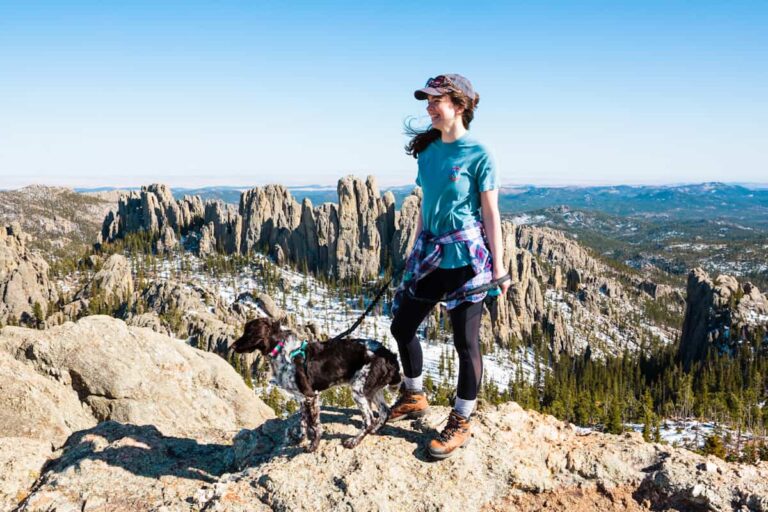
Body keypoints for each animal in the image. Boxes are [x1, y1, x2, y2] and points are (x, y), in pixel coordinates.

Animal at [231, 316, 402, 452]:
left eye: (249, 332)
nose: (232, 346)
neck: (281, 350)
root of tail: (389, 355)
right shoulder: (301, 398)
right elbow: (303, 420)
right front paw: (300, 437)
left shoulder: (310, 396)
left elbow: (314, 425)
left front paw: (313, 446)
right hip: (373, 390)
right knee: (385, 411)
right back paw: (375, 430)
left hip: (359, 390)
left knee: (369, 419)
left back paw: (354, 441)